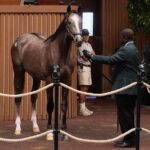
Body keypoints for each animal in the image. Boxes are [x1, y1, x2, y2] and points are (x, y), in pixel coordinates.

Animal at [10, 5, 82, 135]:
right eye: (69, 22)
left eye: (80, 22)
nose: (79, 40)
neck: (59, 53)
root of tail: (19, 40)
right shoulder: (49, 81)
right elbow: (50, 105)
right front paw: (49, 127)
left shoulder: (67, 81)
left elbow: (64, 104)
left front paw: (63, 126)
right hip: (18, 71)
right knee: (18, 97)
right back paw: (18, 128)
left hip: (36, 77)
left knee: (33, 97)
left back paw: (35, 126)